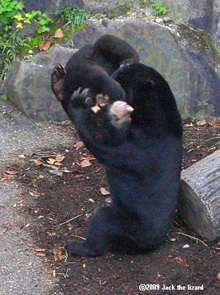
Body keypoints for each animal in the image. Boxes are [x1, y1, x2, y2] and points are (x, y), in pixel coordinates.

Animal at [51, 34, 182, 256]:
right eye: (118, 72)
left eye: (123, 77)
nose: (116, 71)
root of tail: (151, 244)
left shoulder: (141, 149)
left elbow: (104, 144)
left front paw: (95, 106)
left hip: (120, 221)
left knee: (99, 230)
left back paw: (74, 245)